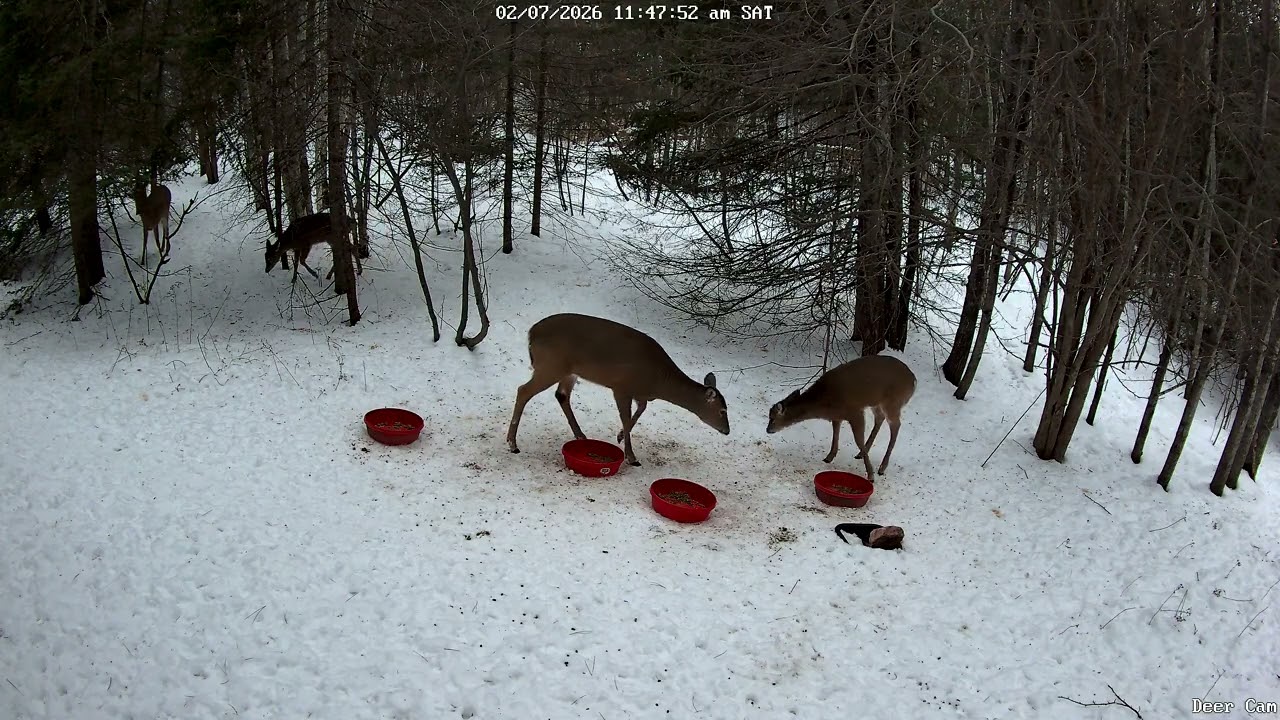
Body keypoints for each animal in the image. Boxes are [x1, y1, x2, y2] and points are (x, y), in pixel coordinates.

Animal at [506, 313, 731, 466]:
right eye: (722, 410)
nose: (727, 431)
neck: (659, 381)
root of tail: (531, 333)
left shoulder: (638, 393)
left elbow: (640, 411)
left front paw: (621, 436)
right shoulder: (621, 386)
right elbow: (626, 416)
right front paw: (631, 456)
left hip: (568, 370)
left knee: (561, 395)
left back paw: (581, 436)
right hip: (551, 365)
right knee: (523, 390)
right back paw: (512, 444)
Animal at [766, 354, 916, 481]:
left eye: (772, 418)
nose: (768, 430)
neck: (824, 402)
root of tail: (913, 380)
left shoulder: (855, 412)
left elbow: (858, 440)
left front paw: (871, 475)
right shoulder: (837, 416)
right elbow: (835, 433)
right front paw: (828, 457)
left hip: (893, 402)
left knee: (895, 425)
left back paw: (881, 468)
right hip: (876, 402)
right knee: (879, 419)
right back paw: (861, 454)